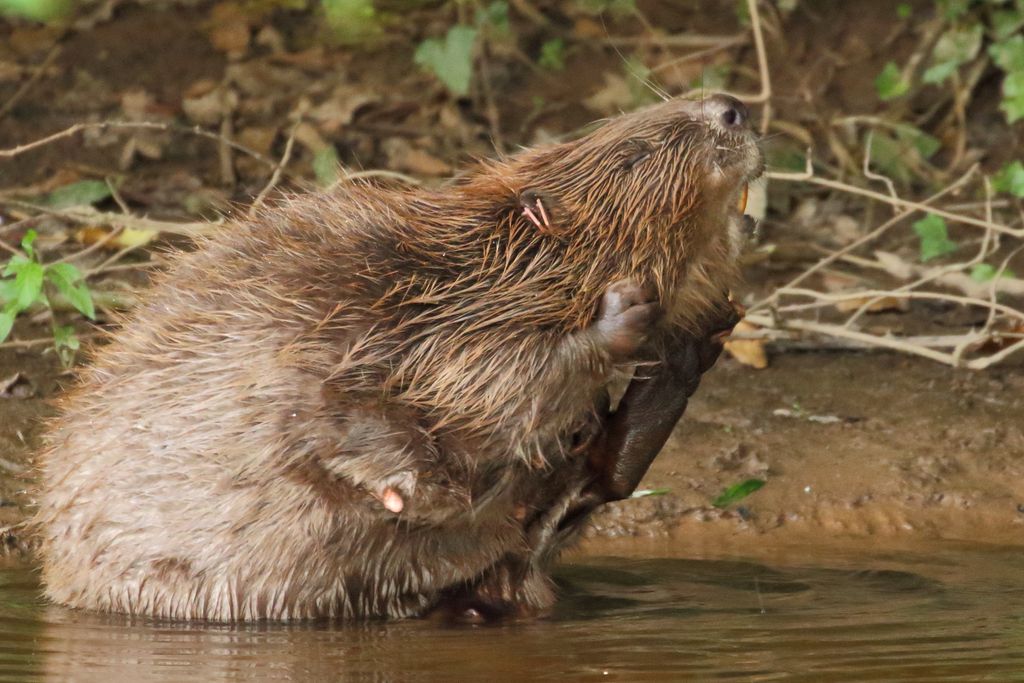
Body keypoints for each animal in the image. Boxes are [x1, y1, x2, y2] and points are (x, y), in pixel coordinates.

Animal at [34, 94, 762, 622]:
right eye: (639, 152)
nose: (731, 107)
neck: (494, 261)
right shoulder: (430, 324)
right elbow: (491, 392)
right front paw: (622, 317)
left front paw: (711, 309)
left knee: (591, 492)